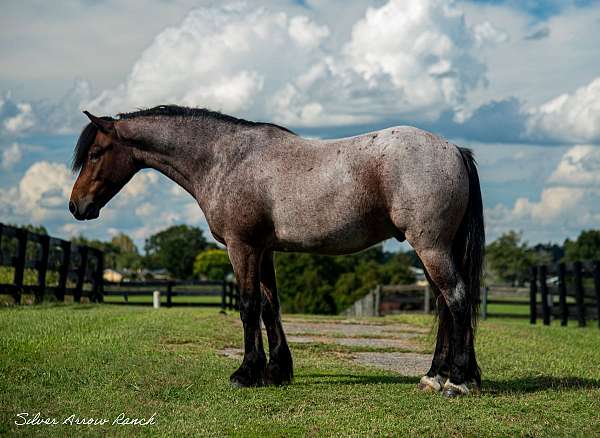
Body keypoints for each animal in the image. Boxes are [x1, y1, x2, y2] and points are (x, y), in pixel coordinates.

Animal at [70, 105, 482, 396]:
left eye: (95, 152)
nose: (76, 206)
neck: (226, 159)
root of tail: (454, 150)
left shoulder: (242, 248)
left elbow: (248, 306)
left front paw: (245, 372)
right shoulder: (264, 250)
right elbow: (271, 307)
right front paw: (276, 371)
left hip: (430, 247)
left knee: (457, 299)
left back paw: (457, 382)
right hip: (431, 251)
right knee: (445, 306)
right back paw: (434, 377)